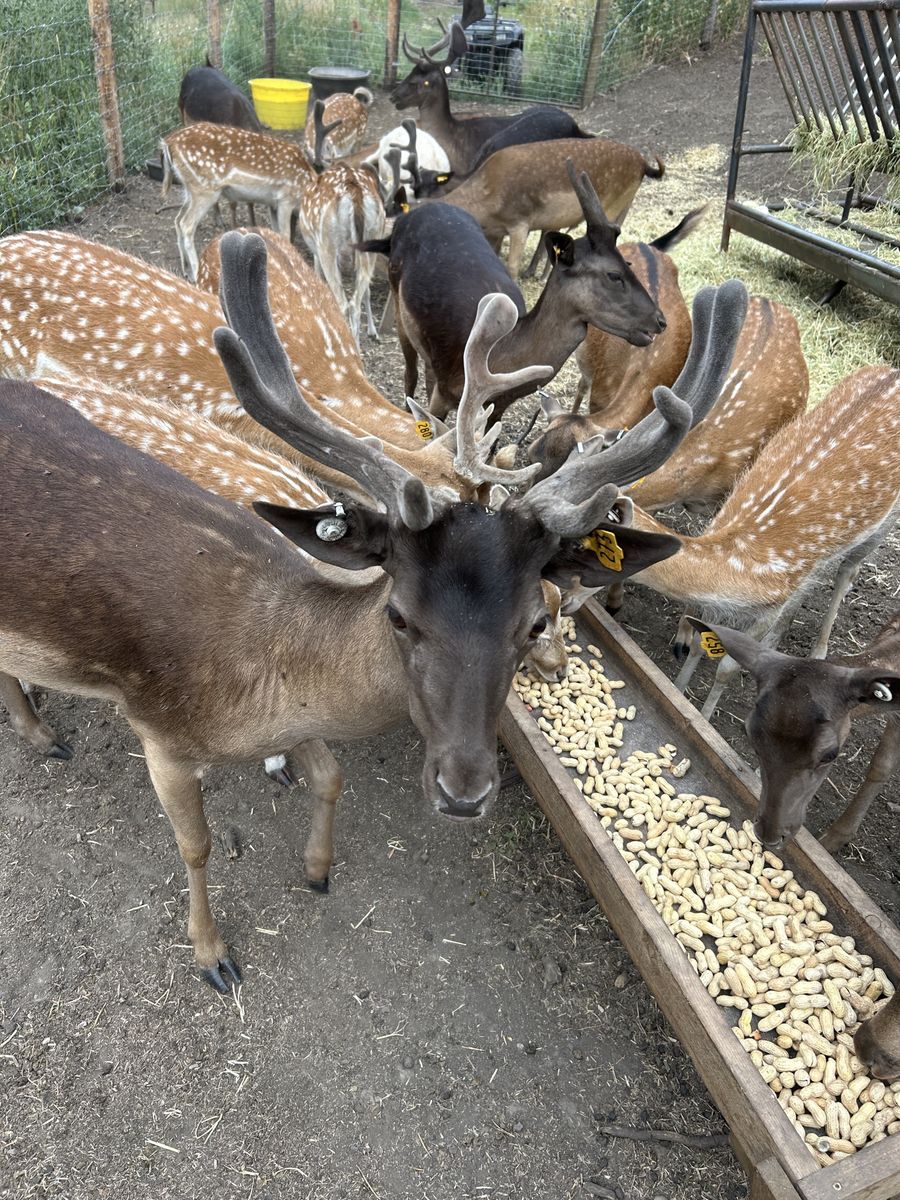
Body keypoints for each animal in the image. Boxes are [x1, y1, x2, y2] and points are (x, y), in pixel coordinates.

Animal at [359, 163, 667, 423]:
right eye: (614, 275)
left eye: (628, 264)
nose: (660, 320)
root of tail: (402, 221)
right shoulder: (445, 393)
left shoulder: (498, 406)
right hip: (400, 311)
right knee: (409, 374)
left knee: (427, 371)